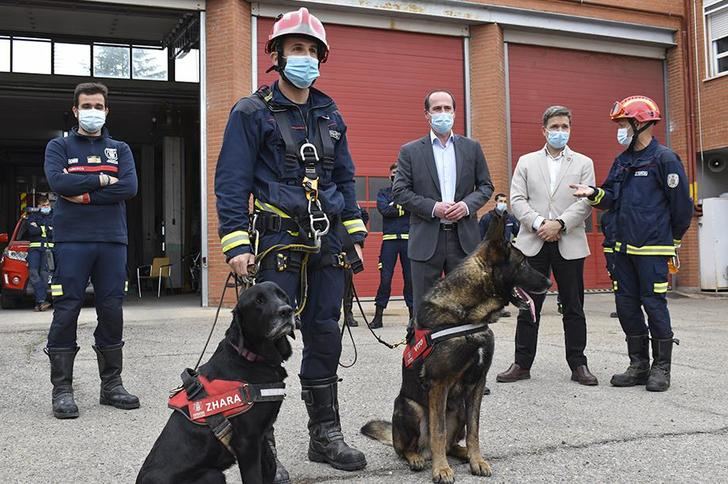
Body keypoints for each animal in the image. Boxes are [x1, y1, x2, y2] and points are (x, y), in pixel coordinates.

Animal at [136, 282, 296, 482]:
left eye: (283, 296)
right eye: (259, 301)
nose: (287, 311)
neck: (250, 357)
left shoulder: (261, 435)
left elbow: (269, 466)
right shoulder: (247, 442)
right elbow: (254, 476)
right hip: (212, 475)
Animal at [362, 216, 548, 484]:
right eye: (522, 263)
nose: (549, 282)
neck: (469, 314)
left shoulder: (478, 384)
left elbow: (474, 430)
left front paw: (476, 460)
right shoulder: (439, 385)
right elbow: (438, 431)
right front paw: (441, 469)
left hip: (459, 408)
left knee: (452, 444)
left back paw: (463, 454)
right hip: (410, 407)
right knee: (407, 447)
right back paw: (418, 457)